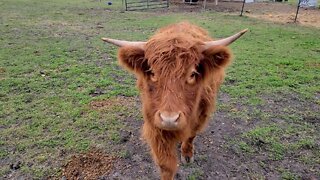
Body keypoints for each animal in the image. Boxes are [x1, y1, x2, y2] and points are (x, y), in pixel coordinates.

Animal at [102, 22, 248, 179]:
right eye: (152, 73)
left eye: (192, 74)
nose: (169, 120)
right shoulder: (155, 123)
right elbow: (166, 165)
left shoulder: (201, 115)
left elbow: (191, 135)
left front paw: (187, 154)